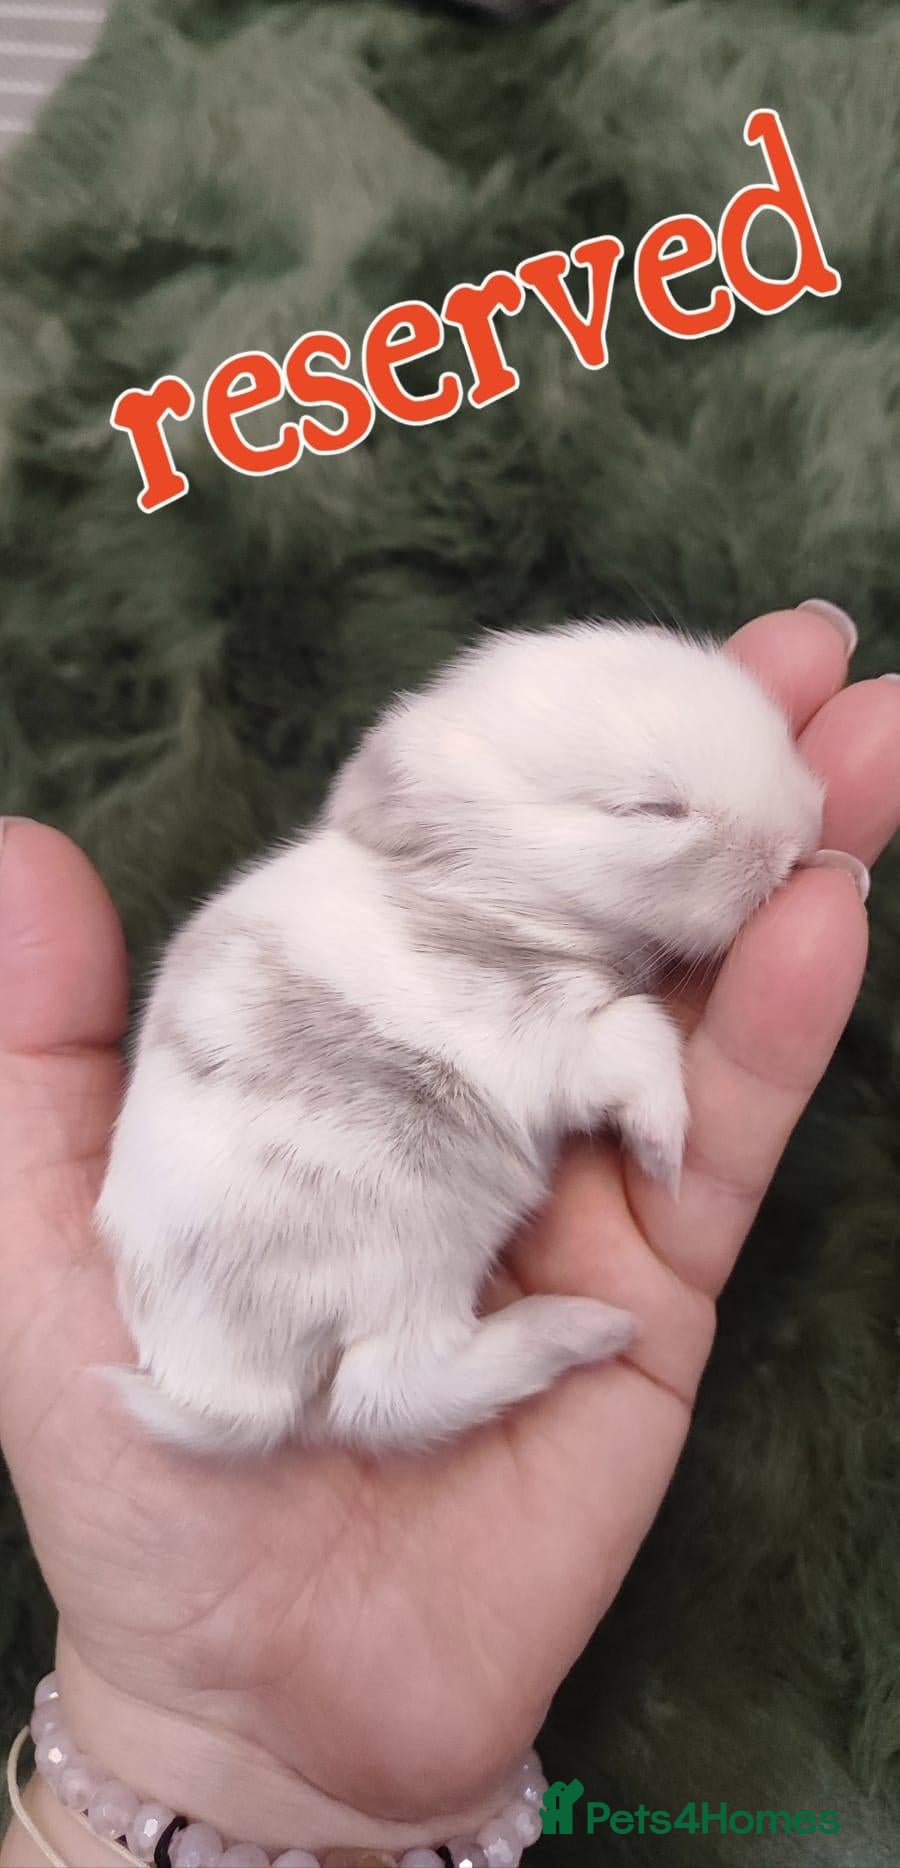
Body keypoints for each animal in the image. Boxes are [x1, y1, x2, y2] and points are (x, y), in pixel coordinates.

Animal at [96, 621, 825, 1455]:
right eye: (650, 809)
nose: (804, 832)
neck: (495, 895)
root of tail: (222, 1391)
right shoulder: (543, 1037)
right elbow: (640, 1038)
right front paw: (662, 1153)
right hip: (400, 1251)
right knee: (385, 1397)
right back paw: (590, 1327)